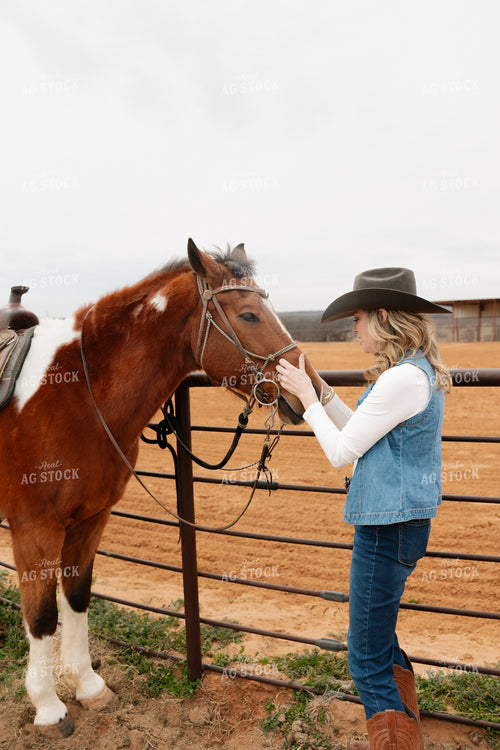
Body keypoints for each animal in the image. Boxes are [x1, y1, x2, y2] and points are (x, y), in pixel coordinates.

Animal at [0, 238, 321, 737]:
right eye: (249, 314)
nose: (312, 391)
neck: (76, 392)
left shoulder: (90, 520)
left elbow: (77, 596)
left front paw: (88, 686)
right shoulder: (35, 530)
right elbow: (42, 615)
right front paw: (49, 707)